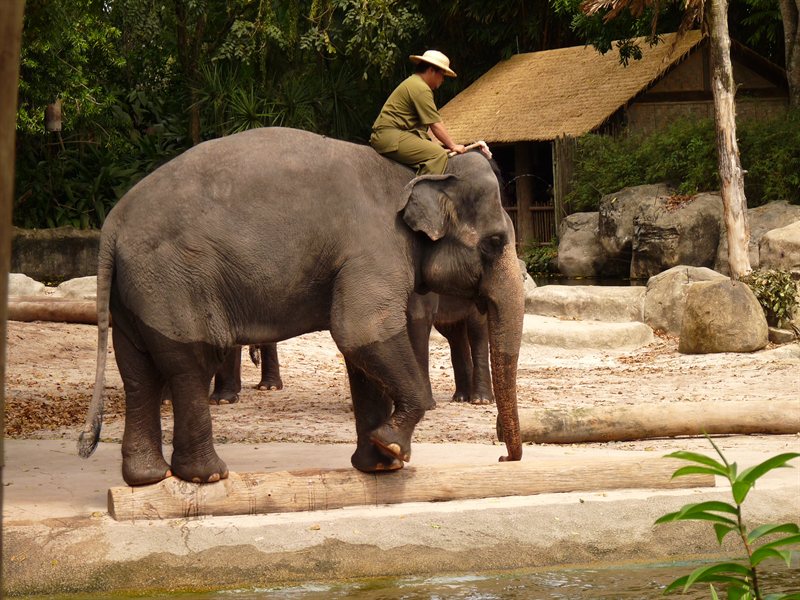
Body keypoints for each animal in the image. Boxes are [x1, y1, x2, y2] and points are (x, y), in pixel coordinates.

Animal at [78, 127, 524, 486]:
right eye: (495, 242)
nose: (504, 455)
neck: (417, 176)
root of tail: (113, 225)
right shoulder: (372, 252)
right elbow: (360, 332)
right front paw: (393, 449)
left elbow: (361, 351)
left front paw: (380, 466)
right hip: (173, 281)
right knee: (191, 360)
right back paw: (208, 476)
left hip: (134, 293)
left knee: (138, 370)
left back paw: (148, 478)